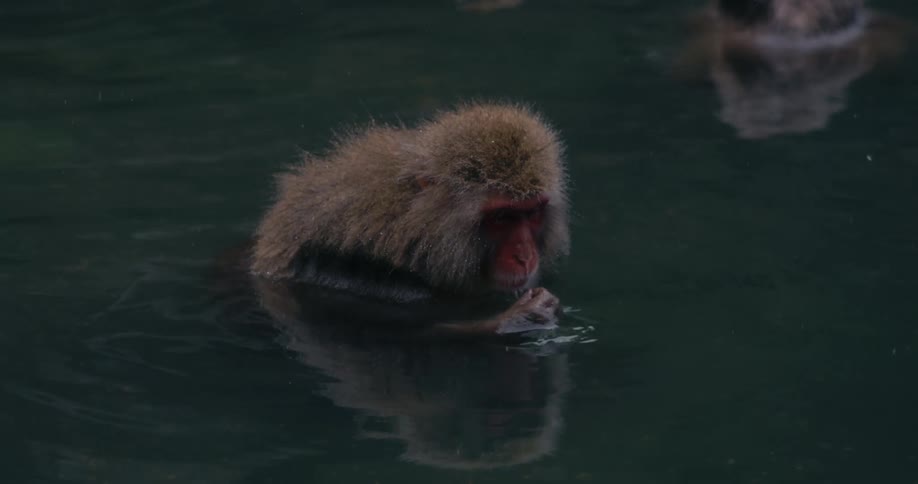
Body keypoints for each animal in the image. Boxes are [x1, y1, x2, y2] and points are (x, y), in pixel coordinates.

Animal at [250, 103, 569, 338]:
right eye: (502, 217)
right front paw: (524, 316)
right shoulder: (369, 280)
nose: (525, 256)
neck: (412, 229)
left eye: (531, 213)